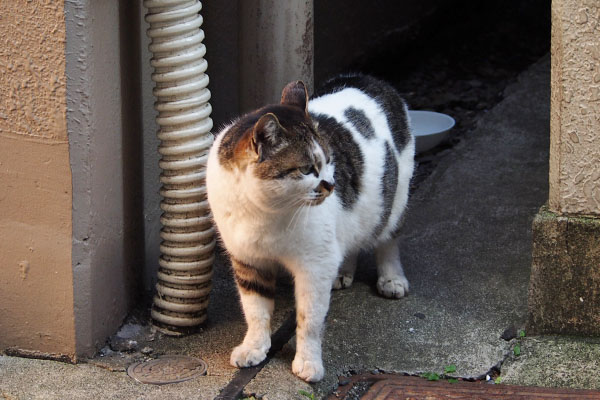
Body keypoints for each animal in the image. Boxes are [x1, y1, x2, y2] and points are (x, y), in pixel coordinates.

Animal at [205, 73, 412, 382]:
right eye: (305, 169)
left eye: (328, 160)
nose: (333, 184)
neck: (262, 211)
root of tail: (367, 78)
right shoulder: (248, 259)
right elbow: (255, 310)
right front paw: (254, 347)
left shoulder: (314, 265)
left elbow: (310, 319)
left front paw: (309, 362)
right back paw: (343, 273)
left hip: (394, 202)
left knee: (387, 240)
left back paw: (391, 279)